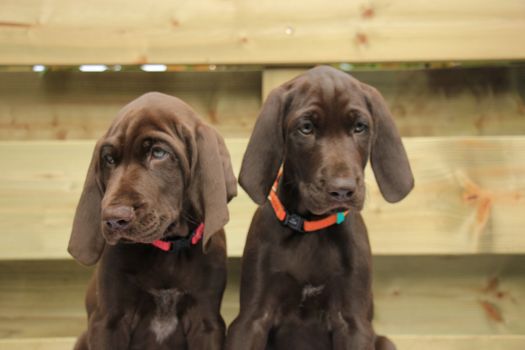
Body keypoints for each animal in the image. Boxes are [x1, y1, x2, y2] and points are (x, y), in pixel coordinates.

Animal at [69, 93, 235, 350]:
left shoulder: (206, 322)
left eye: (159, 153)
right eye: (108, 159)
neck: (168, 250)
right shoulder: (109, 321)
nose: (113, 219)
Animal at [226, 66, 414, 350]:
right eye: (306, 128)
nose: (342, 190)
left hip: (384, 341)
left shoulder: (353, 323)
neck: (311, 227)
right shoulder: (251, 319)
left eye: (360, 127)